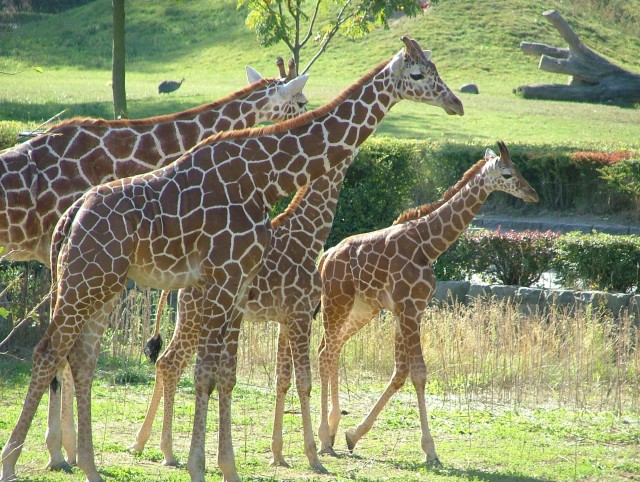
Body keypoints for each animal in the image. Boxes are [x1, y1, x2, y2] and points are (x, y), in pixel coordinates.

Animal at [318, 142, 536, 464]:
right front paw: (430, 449)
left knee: (332, 348)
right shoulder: (408, 308)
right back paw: (323, 437)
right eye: (508, 174)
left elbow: (400, 372)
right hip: (336, 300)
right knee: (325, 351)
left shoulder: (410, 310)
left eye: (520, 169)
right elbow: (419, 373)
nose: (532, 193)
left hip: (363, 308)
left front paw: (353, 434)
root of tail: (325, 257)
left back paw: (332, 433)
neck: (429, 245)